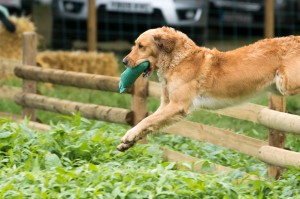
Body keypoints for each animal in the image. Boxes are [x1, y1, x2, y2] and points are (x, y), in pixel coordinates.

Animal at [117, 26, 300, 151]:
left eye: (141, 46)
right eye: (135, 45)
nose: (124, 62)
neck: (178, 60)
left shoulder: (177, 106)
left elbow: (147, 120)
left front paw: (129, 135)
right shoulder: (167, 105)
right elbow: (148, 121)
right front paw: (129, 141)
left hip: (286, 84)